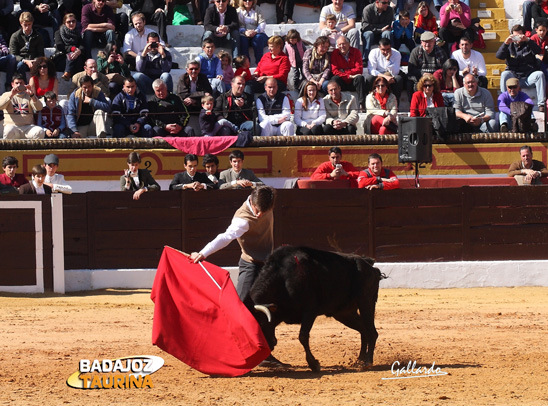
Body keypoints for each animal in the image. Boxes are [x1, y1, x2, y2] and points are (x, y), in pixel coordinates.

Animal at [248, 244, 386, 372]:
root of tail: (370, 266)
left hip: (366, 302)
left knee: (372, 332)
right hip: (344, 313)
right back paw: (360, 360)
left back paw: (368, 361)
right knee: (363, 330)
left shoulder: (309, 311)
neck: (283, 278)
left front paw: (314, 364)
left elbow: (303, 336)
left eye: (260, 325)